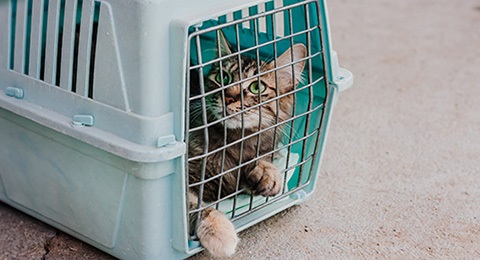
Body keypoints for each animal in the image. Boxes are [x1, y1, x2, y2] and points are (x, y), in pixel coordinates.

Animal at [188, 30, 308, 256]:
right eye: (222, 78)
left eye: (256, 87)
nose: (228, 98)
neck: (234, 141)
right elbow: (194, 205)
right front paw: (219, 230)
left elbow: (260, 166)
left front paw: (268, 173)